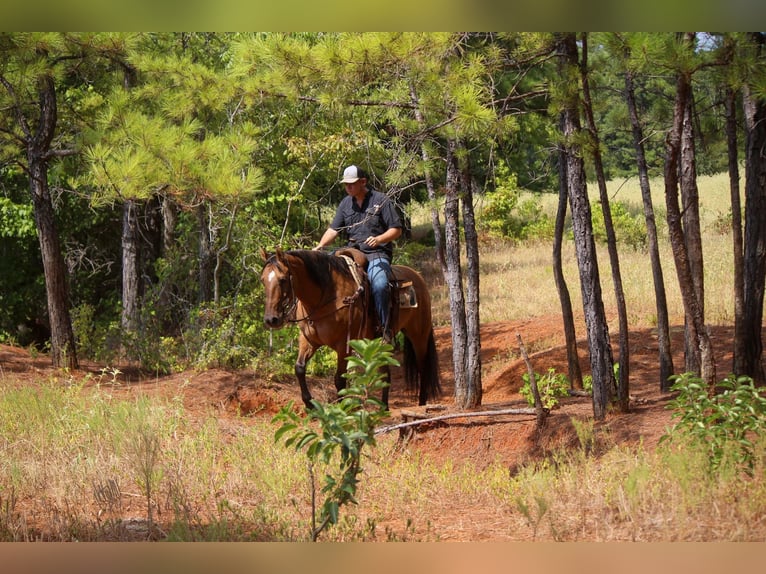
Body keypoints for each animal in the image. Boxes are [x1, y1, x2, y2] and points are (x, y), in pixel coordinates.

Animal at [260, 250, 444, 412]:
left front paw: (341, 408)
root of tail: (417, 277)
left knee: (423, 369)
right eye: (263, 280)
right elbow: (299, 368)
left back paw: (422, 404)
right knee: (385, 373)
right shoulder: (308, 340)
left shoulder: (343, 345)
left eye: (283, 279)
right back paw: (383, 407)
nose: (271, 319)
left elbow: (339, 379)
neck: (324, 296)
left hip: (419, 335)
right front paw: (309, 404)